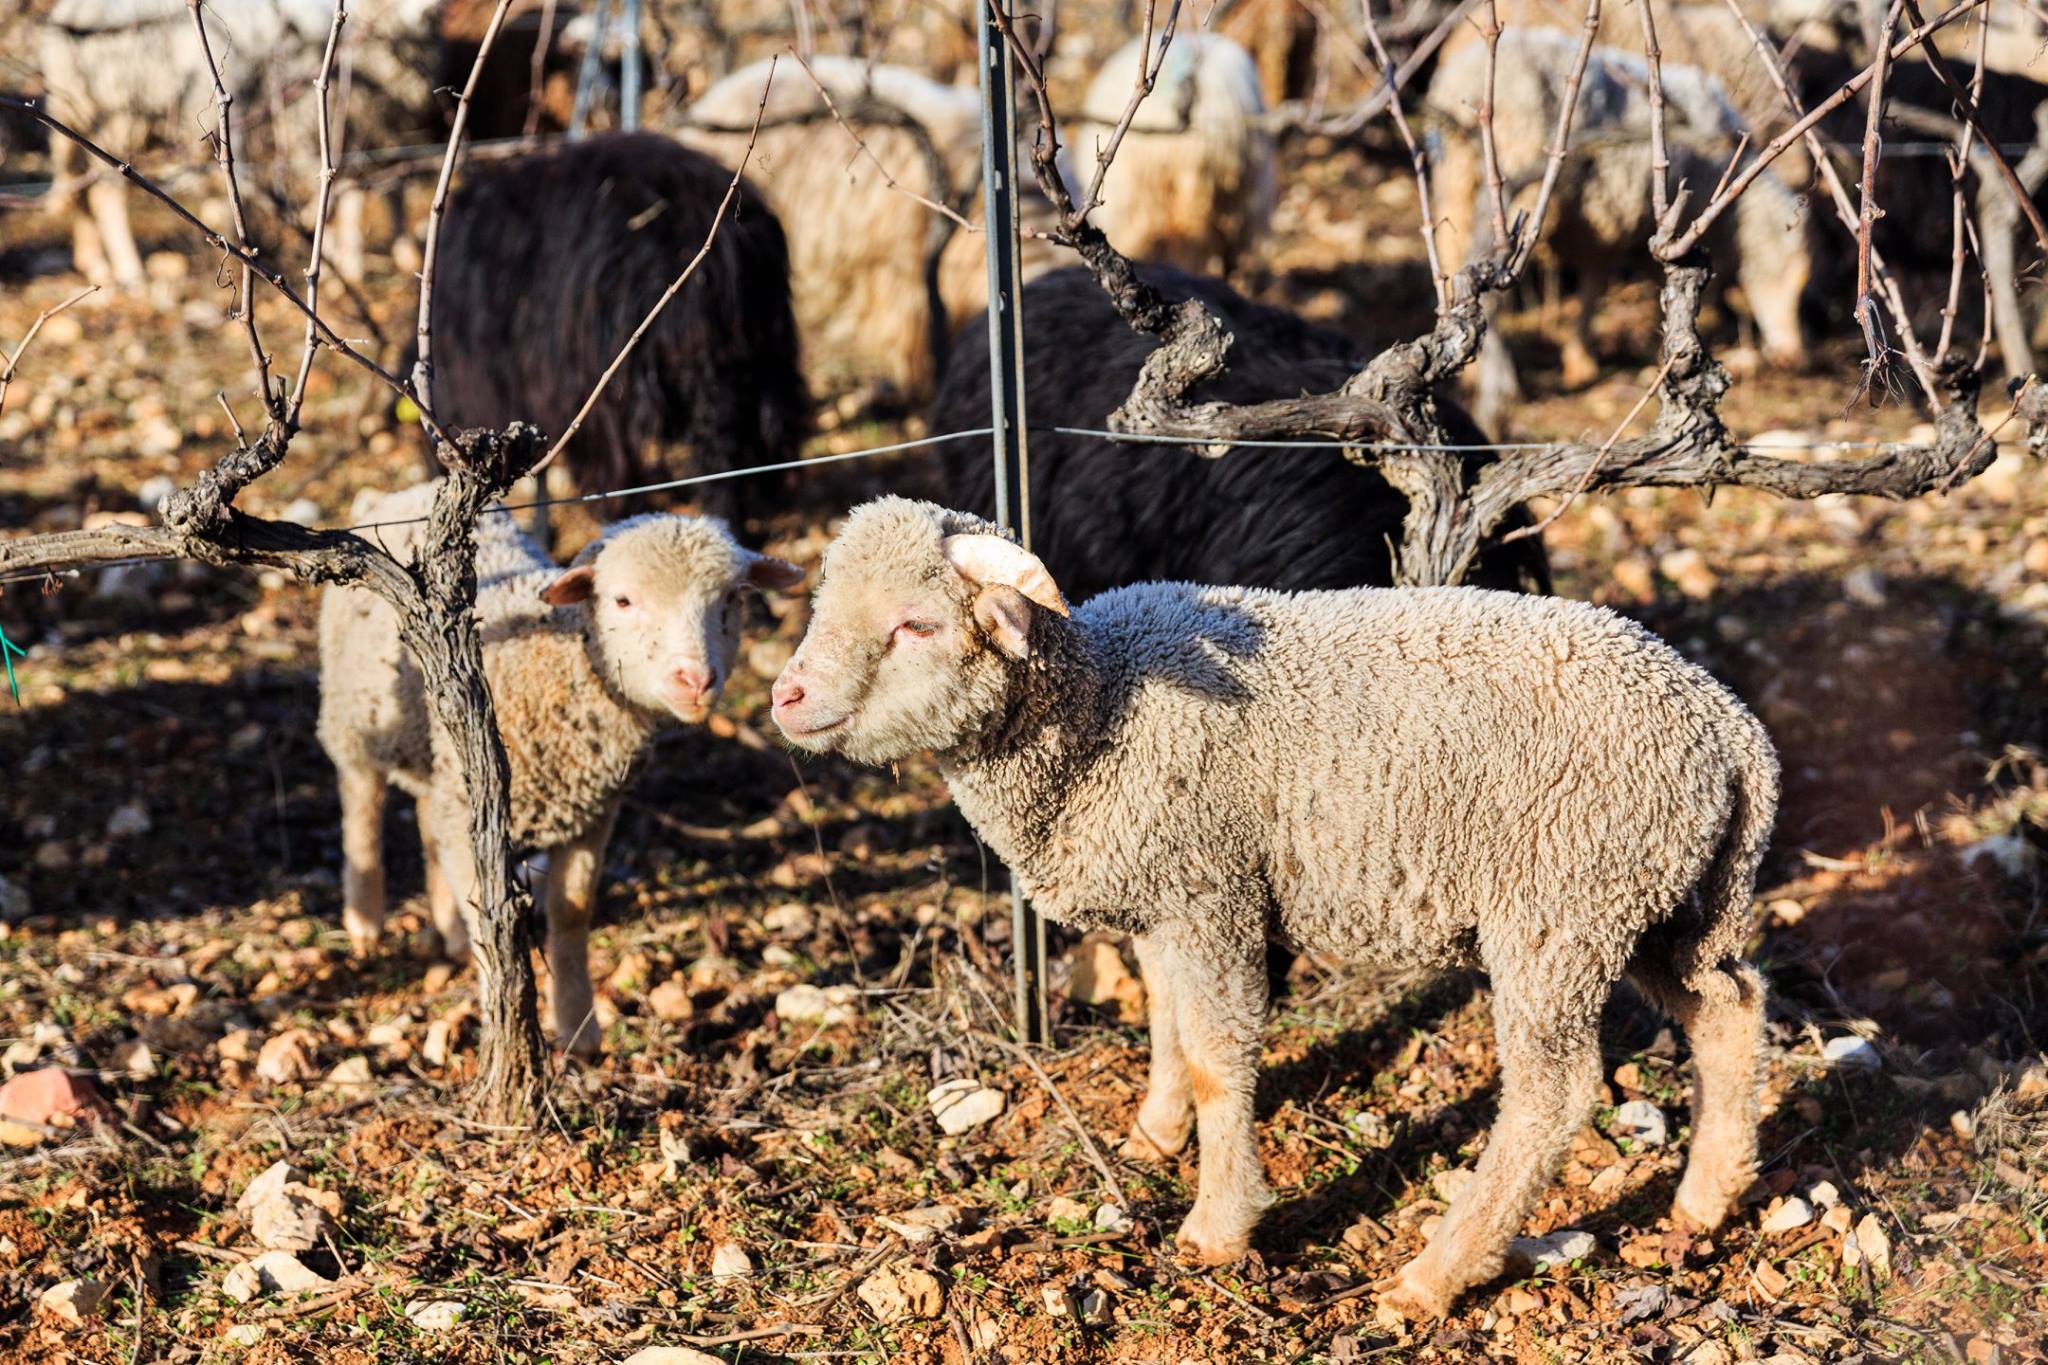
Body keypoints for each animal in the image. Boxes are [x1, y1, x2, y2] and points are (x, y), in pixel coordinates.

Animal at [317, 480, 798, 1055]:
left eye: (731, 598)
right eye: (622, 600)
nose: (696, 680)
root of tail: (402, 493)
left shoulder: (591, 814)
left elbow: (571, 913)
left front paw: (577, 1028)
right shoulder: (478, 813)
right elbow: (489, 926)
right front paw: (502, 1020)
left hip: (439, 758)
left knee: (427, 820)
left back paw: (446, 930)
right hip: (356, 720)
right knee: (360, 807)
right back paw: (364, 921)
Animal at [770, 501, 1777, 1326]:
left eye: (915, 623)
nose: (786, 695)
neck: (1101, 709)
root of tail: (1732, 730)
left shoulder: (1210, 892)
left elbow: (1219, 1057)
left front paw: (1218, 1224)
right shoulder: (1166, 898)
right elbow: (1168, 1023)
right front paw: (1154, 1133)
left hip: (1558, 906)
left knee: (1553, 1093)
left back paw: (1435, 1274)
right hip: (1654, 902)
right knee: (1728, 1008)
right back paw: (1708, 1196)